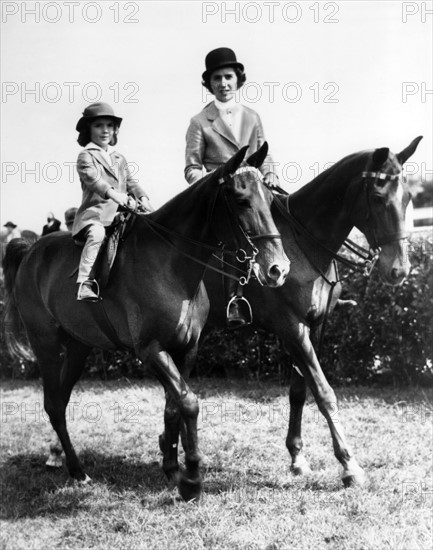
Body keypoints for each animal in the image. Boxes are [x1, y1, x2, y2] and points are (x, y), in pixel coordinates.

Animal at [2, 144, 290, 502]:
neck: (171, 264)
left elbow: (173, 405)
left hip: (78, 348)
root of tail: (30, 251)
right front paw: (191, 478)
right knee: (53, 404)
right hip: (46, 344)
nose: (278, 268)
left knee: (61, 401)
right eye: (240, 200)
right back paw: (78, 471)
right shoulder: (151, 350)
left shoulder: (186, 349)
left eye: (269, 196)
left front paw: (171, 466)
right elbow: (188, 402)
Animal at [159, 136, 422, 490]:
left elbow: (299, 391)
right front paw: (349, 465)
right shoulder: (293, 329)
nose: (399, 269)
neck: (302, 247)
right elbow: (323, 392)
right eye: (379, 197)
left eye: (408, 197)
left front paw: (297, 457)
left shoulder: (315, 326)